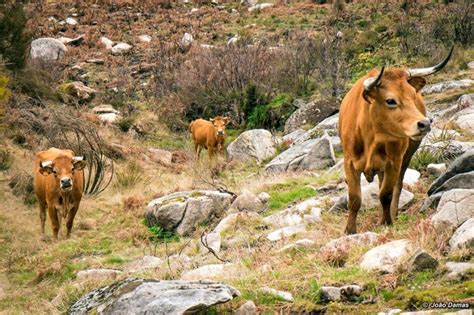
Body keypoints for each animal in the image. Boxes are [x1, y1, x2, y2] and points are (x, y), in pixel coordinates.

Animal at [338, 47, 454, 235]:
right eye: (391, 100)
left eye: (413, 96)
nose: (425, 123)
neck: (371, 137)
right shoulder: (349, 162)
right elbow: (354, 198)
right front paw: (350, 230)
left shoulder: (394, 161)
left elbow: (386, 194)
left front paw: (386, 222)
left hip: (405, 158)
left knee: (396, 188)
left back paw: (392, 214)